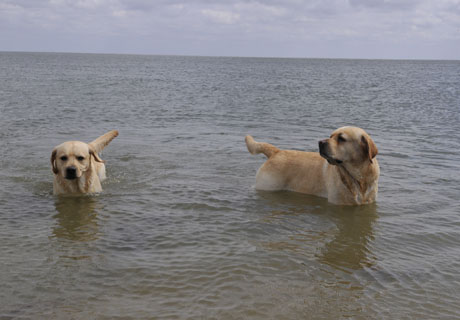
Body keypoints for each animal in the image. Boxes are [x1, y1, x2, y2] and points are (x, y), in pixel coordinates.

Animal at [246, 127, 380, 205]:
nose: (320, 142)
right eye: (331, 136)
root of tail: (276, 152)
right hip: (267, 186)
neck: (358, 177)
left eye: (341, 138)